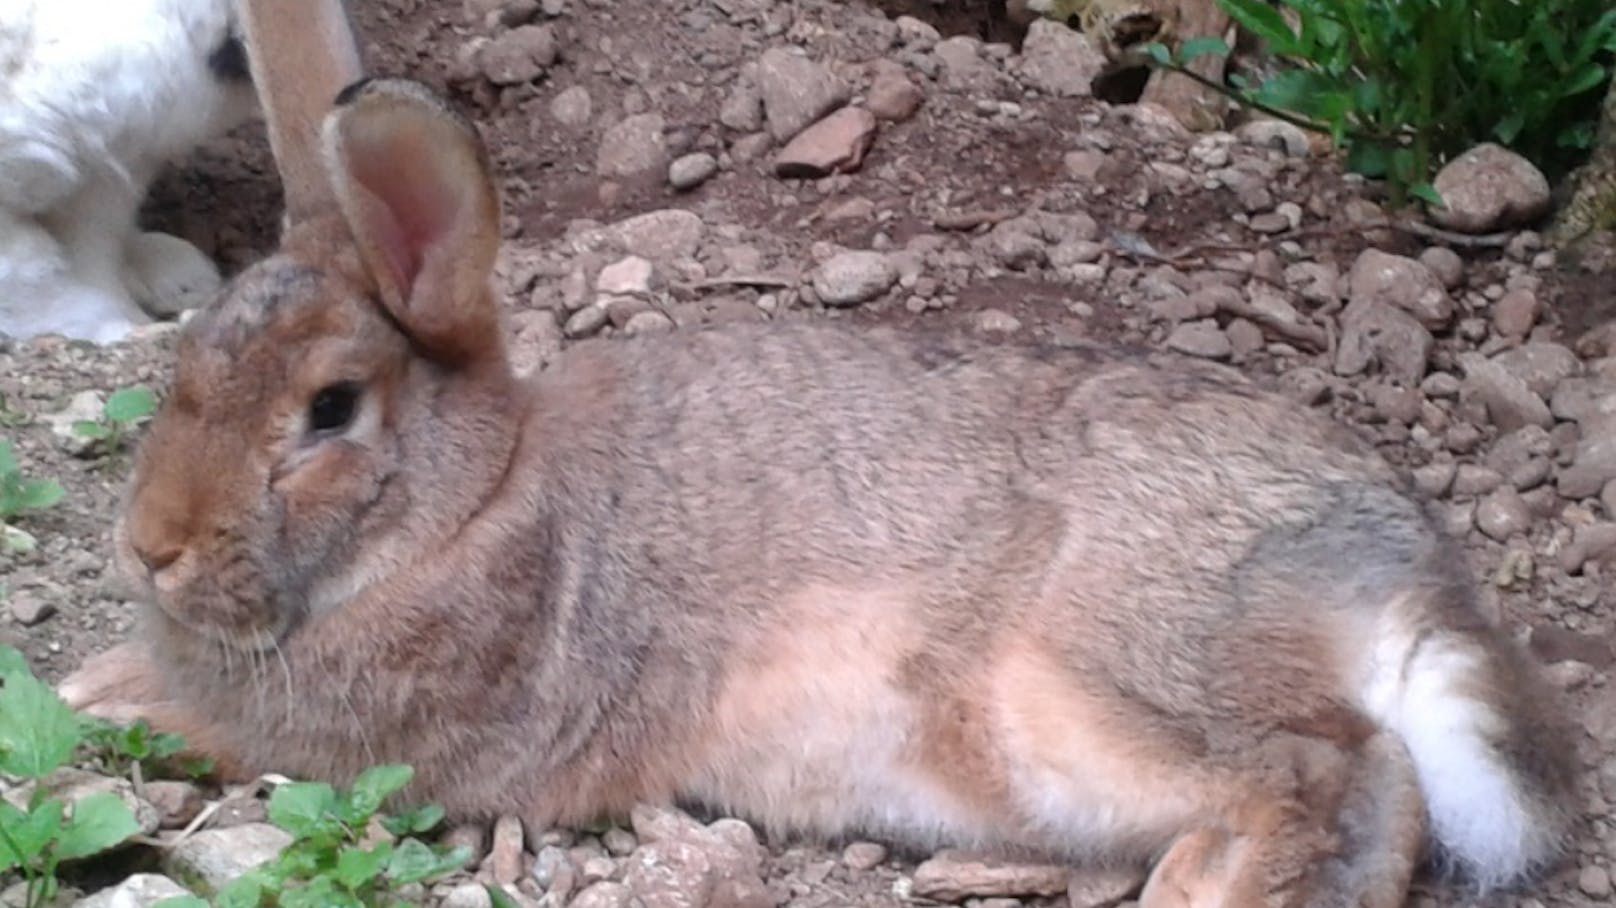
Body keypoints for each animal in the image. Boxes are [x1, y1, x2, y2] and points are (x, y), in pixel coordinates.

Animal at [66, 51, 1577, 908]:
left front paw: (90, 694)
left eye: (330, 410)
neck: (473, 503)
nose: (149, 548)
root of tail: (1391, 570)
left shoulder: (368, 739)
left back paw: (1198, 894)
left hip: (1087, 682)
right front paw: (93, 672)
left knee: (1337, 766)